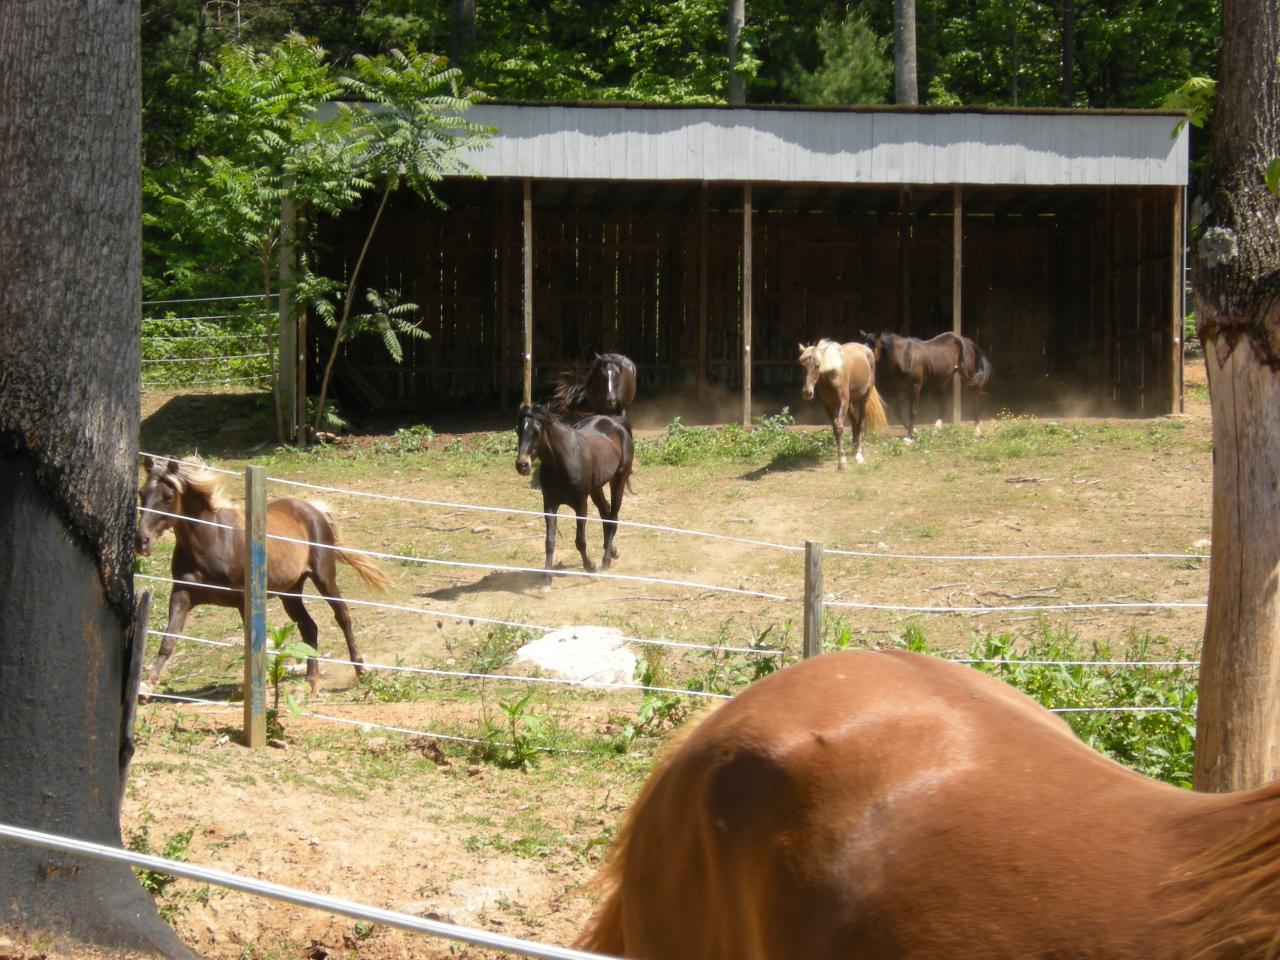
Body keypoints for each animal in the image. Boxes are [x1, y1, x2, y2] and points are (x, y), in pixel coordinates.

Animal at [134, 457, 393, 693]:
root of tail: (314, 510)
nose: (141, 541)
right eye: (141, 493)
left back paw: (360, 669)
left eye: (168, 497)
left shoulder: (243, 599)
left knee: (343, 617)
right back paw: (311, 683)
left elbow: (253, 640)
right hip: (290, 593)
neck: (213, 540)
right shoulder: (182, 594)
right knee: (309, 627)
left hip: (324, 578)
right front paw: (147, 687)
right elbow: (168, 640)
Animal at [515, 404, 634, 588]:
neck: (563, 462)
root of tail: (617, 423)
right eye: (519, 430)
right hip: (596, 488)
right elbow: (549, 542)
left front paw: (591, 568)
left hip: (618, 480)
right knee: (605, 512)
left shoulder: (580, 504)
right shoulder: (550, 504)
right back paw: (612, 551)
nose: (522, 465)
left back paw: (606, 560)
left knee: (613, 517)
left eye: (536, 431)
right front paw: (546, 579)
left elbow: (580, 541)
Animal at [797, 339, 889, 468]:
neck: (832, 373)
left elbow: (839, 427)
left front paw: (842, 461)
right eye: (802, 365)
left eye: (818, 365)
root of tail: (867, 349)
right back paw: (854, 448)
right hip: (850, 403)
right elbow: (835, 429)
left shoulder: (843, 402)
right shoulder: (828, 405)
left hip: (864, 397)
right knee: (855, 421)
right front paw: (842, 457)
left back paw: (858, 454)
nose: (807, 392)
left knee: (860, 423)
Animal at [862, 331, 992, 442]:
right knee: (943, 405)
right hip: (943, 379)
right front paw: (914, 431)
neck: (906, 356)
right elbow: (897, 411)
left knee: (974, 399)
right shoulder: (903, 388)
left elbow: (912, 411)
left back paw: (977, 430)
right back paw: (936, 429)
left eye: (873, 346)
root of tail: (964, 340)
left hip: (968, 377)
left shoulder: (916, 386)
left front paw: (909, 437)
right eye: (863, 344)